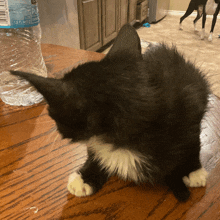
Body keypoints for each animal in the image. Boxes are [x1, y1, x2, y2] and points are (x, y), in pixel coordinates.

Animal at [10, 23, 210, 201]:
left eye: (53, 116)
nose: (58, 131)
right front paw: (86, 177)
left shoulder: (192, 108)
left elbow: (193, 142)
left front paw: (192, 170)